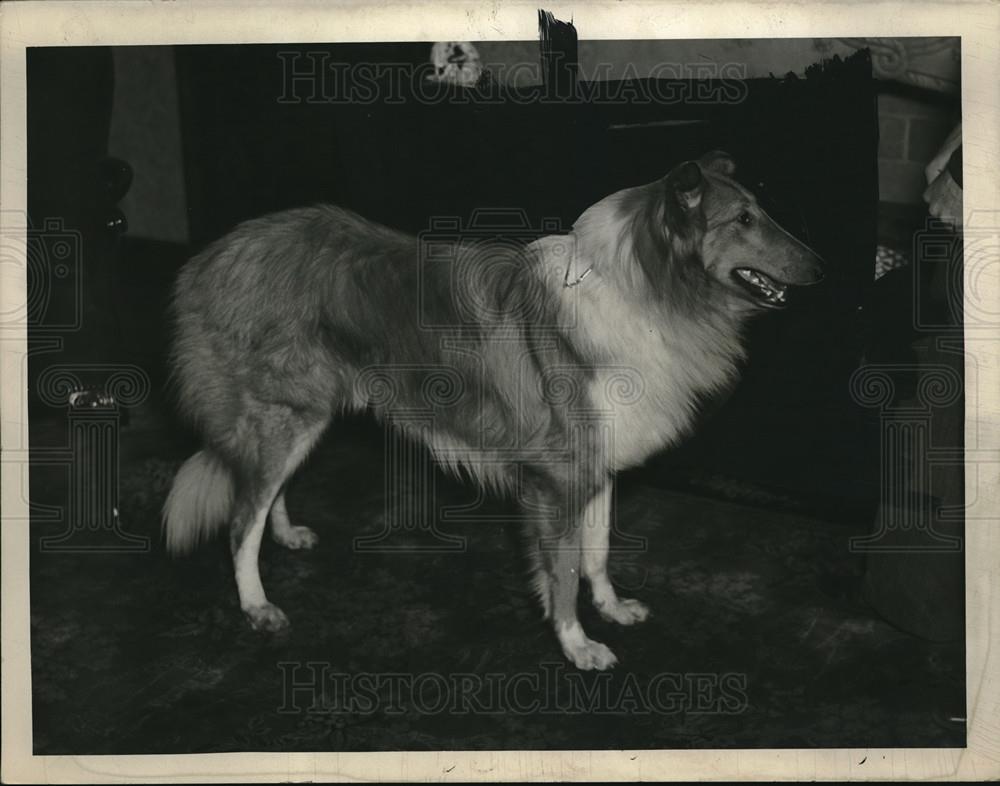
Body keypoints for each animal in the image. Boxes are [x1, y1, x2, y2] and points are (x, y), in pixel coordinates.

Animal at [162, 152, 820, 668]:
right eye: (743, 219)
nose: (821, 265)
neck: (646, 290)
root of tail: (216, 255)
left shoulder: (596, 463)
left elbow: (598, 552)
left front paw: (612, 608)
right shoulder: (557, 476)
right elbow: (563, 571)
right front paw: (577, 644)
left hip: (303, 414)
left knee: (265, 492)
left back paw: (287, 534)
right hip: (286, 411)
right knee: (241, 517)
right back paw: (257, 606)